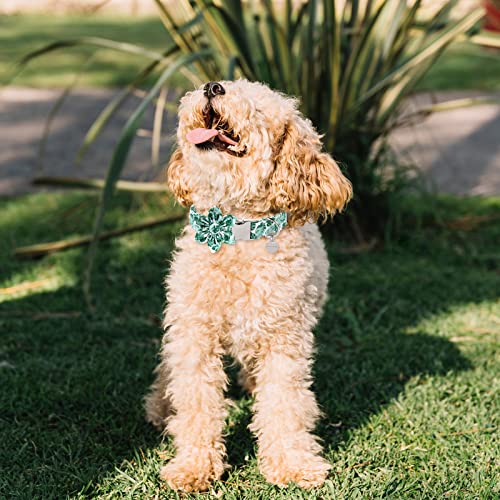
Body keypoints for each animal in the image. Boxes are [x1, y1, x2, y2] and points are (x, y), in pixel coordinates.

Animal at [145, 80, 354, 490]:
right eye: (224, 83)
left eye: (259, 109)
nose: (212, 87)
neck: (235, 232)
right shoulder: (194, 333)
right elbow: (196, 402)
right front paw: (193, 467)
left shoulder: (284, 339)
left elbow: (285, 403)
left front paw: (292, 463)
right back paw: (160, 407)